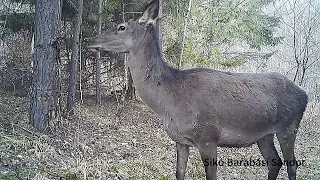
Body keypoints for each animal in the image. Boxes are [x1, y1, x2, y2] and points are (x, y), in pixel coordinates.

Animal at [87, 0, 308, 179]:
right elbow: (179, 173)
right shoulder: (180, 140)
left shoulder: (208, 138)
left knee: (292, 165)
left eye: (121, 26)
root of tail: (305, 94)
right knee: (274, 162)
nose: (91, 41)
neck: (168, 100)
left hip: (289, 127)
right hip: (264, 135)